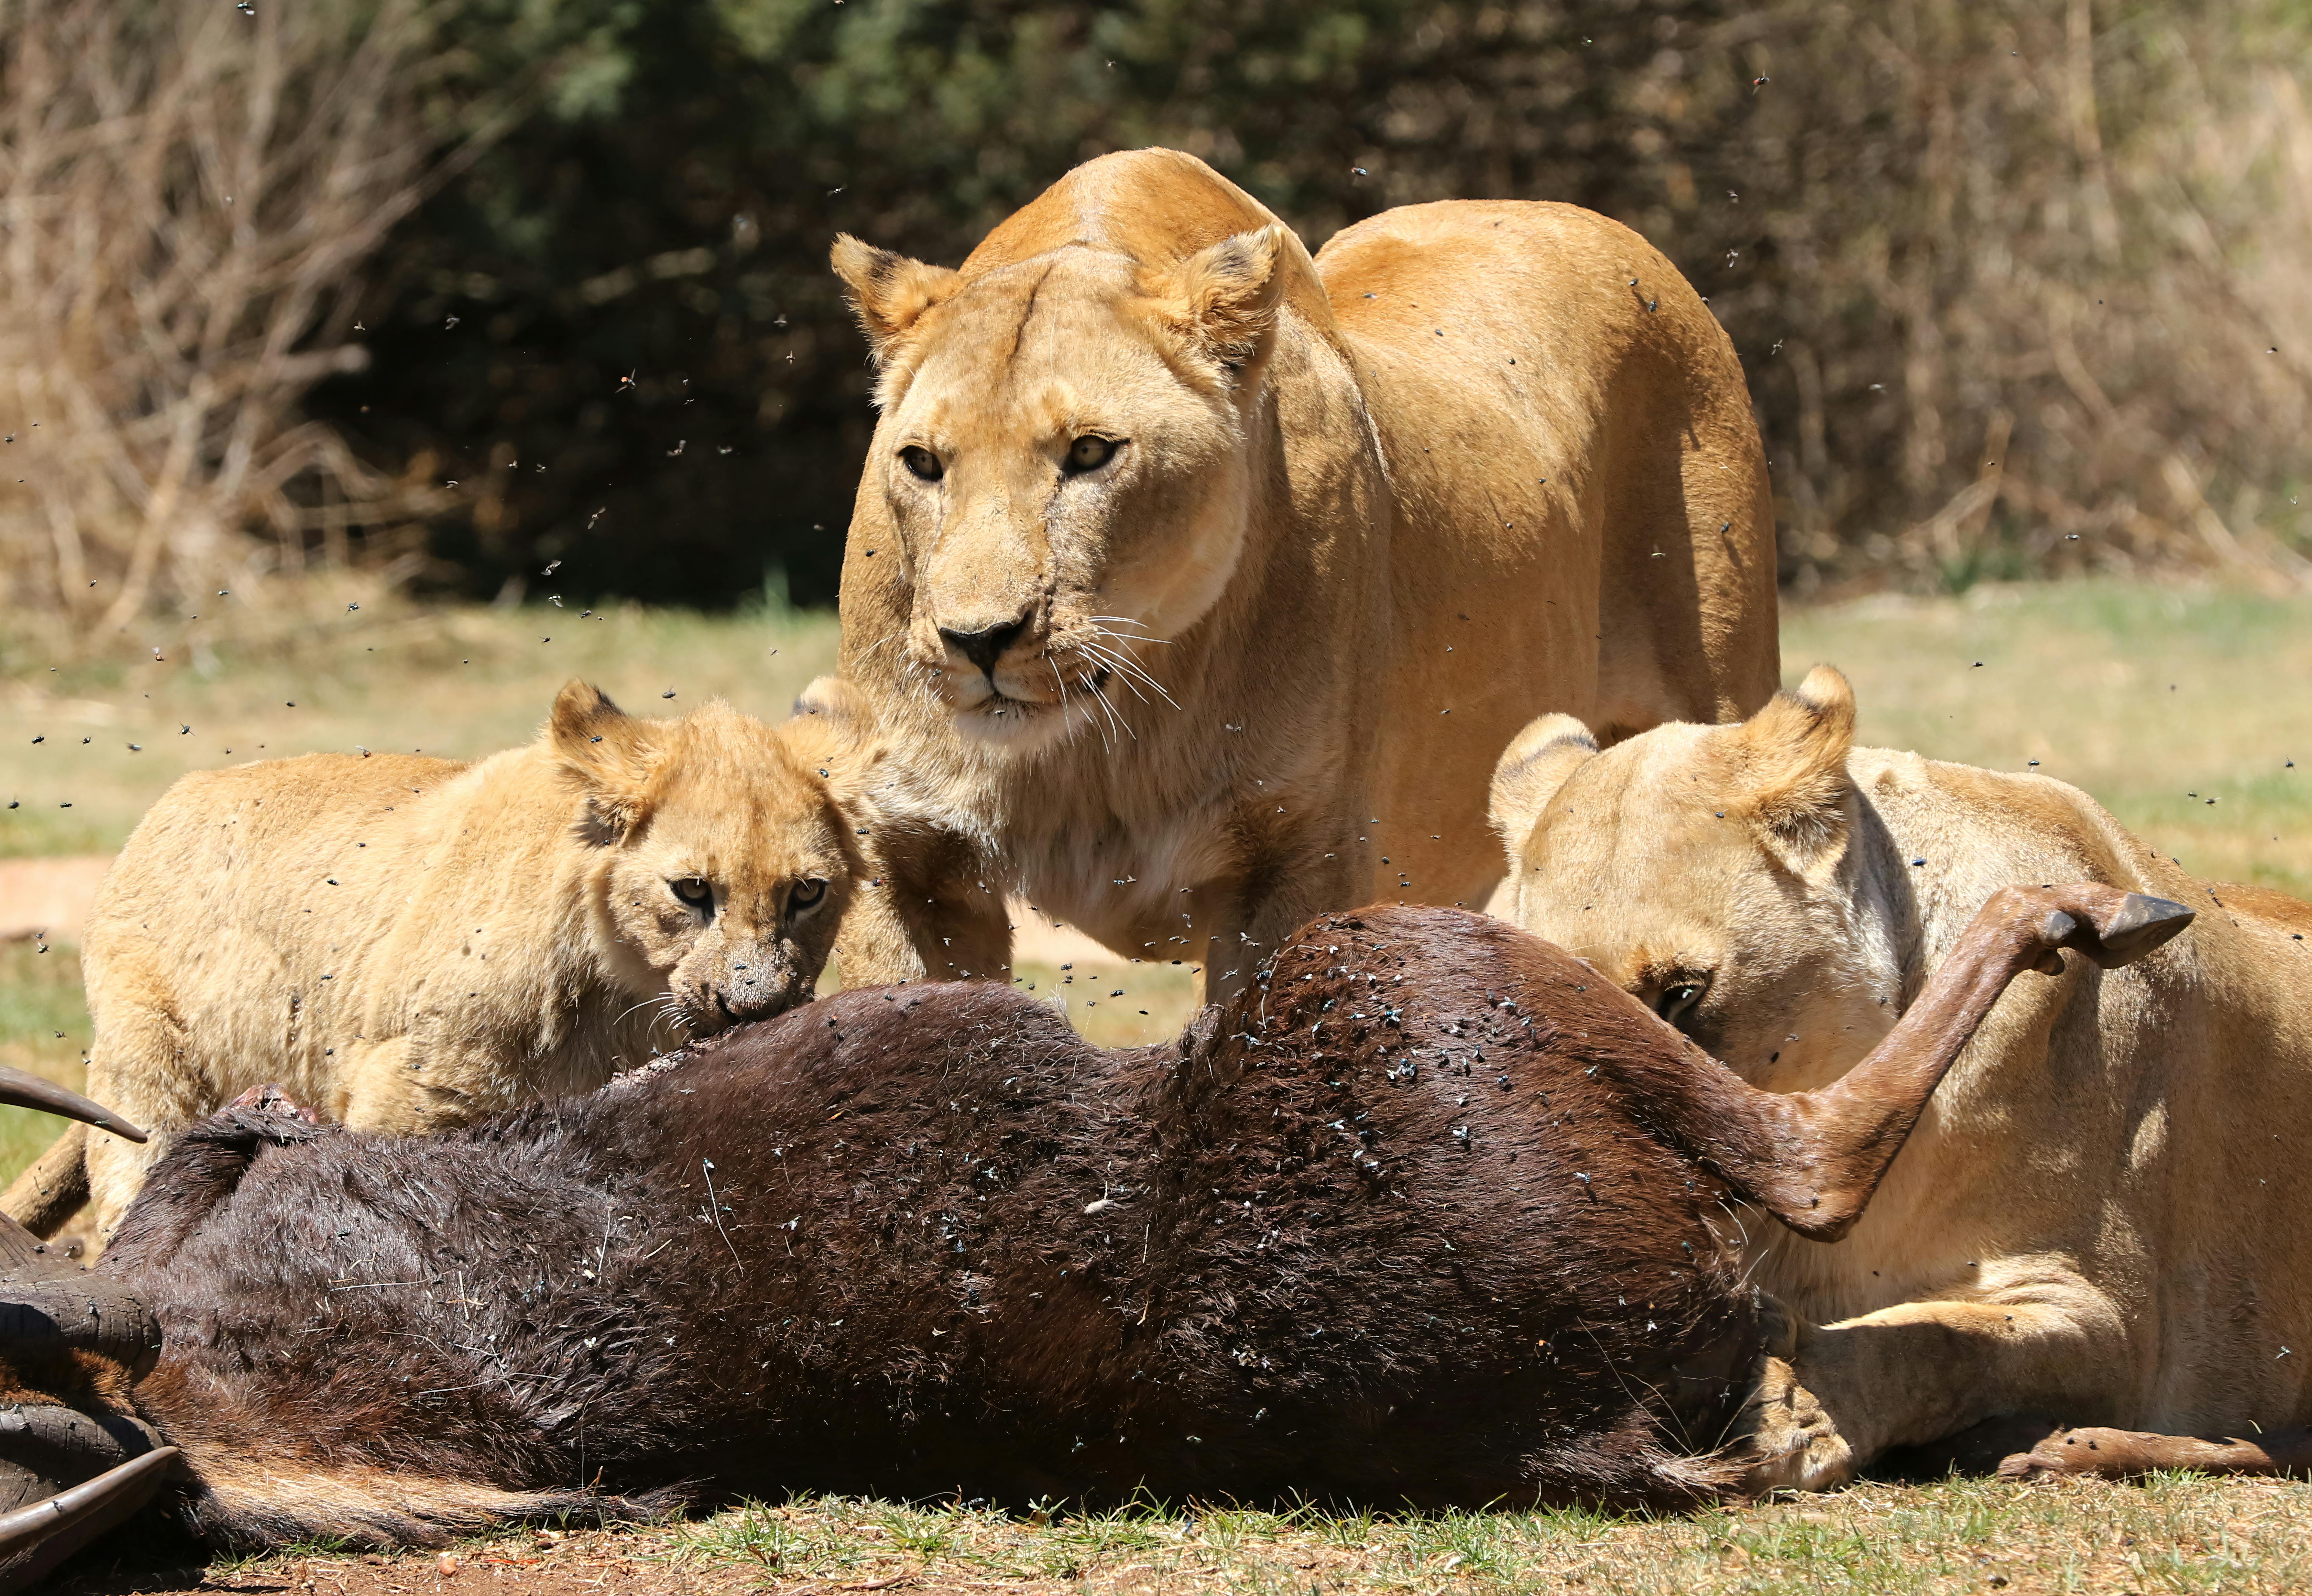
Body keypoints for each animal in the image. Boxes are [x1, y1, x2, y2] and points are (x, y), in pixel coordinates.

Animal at [3, 676, 879, 1243]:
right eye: (692, 889)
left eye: (807, 893)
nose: (758, 1006)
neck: (623, 999)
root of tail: (169, 801)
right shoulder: (408, 1085)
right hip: (149, 1073)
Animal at [824, 147, 1778, 1002]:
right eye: (922, 462)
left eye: (1091, 452)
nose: (976, 641)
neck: (1108, 741)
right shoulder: (906, 855)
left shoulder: (1298, 861)